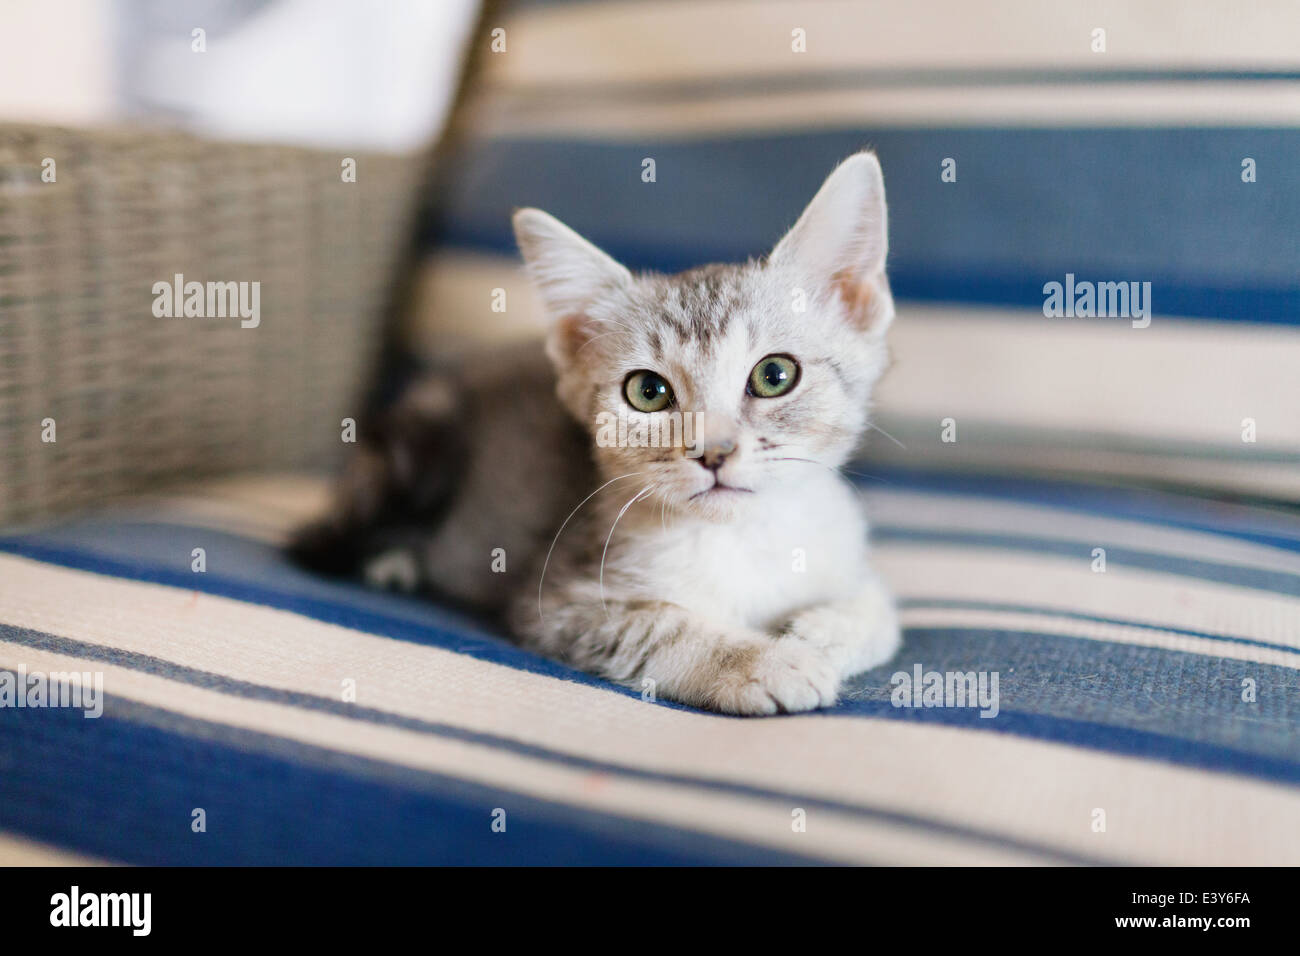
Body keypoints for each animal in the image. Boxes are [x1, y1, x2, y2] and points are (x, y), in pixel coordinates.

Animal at [292, 149, 904, 712]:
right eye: (648, 392)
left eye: (775, 375)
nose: (714, 452)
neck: (742, 539)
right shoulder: (562, 601)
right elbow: (662, 630)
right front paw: (764, 661)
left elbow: (884, 612)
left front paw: (823, 630)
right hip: (421, 451)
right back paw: (392, 560)